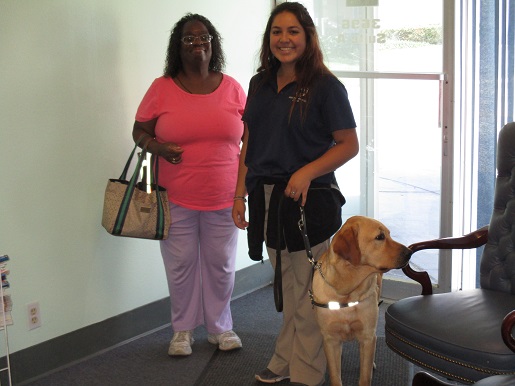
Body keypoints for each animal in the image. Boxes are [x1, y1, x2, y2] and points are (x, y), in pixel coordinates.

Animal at [310, 216, 412, 386]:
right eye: (380, 237)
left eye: (389, 235)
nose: (409, 253)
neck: (347, 292)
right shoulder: (330, 339)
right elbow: (335, 376)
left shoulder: (367, 336)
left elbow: (365, 376)